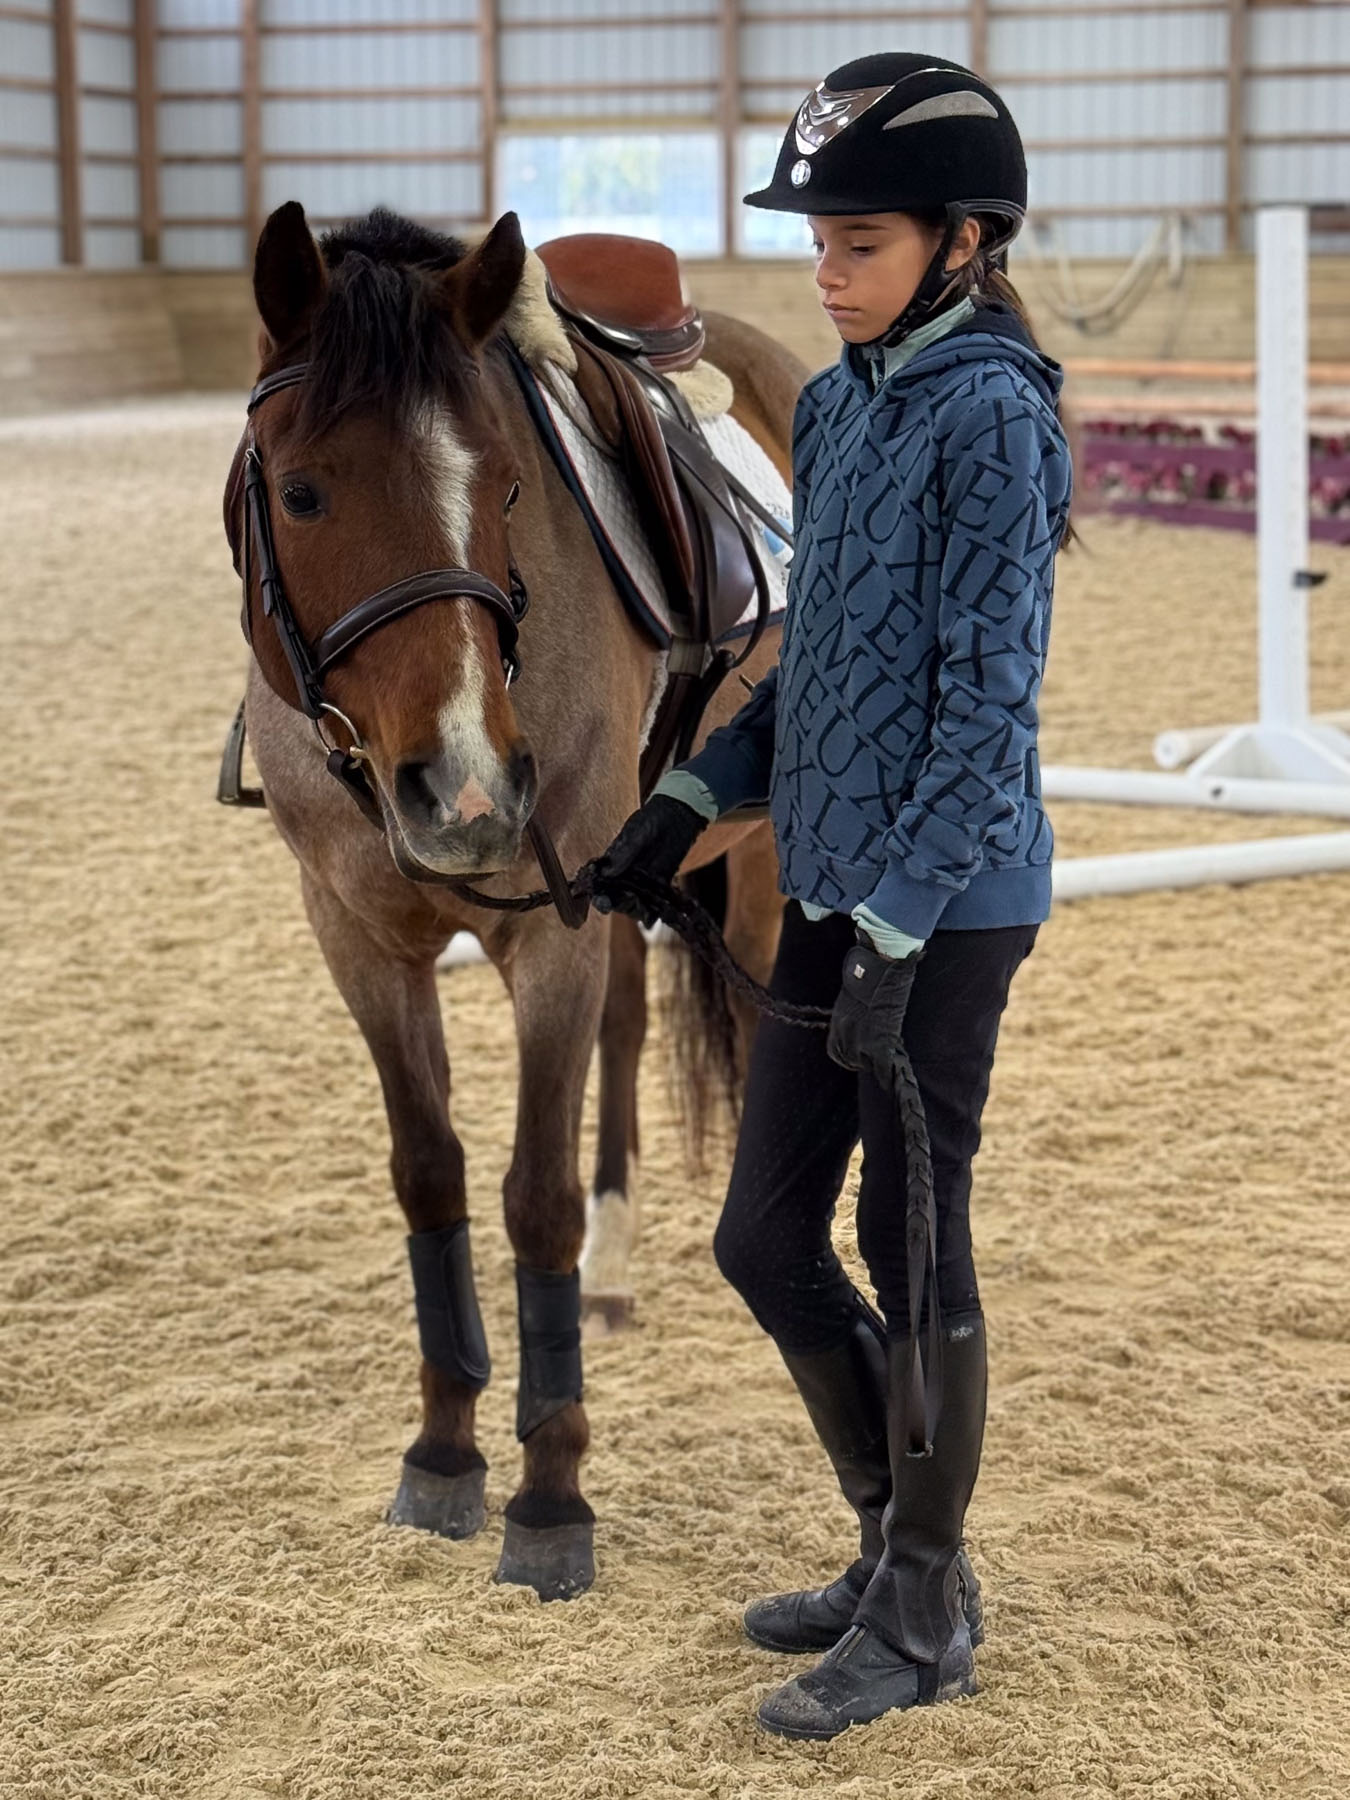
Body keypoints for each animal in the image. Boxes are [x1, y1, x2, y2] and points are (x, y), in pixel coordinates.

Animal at [225, 201, 805, 1600]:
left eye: (501, 488)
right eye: (302, 489)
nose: (468, 791)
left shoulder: (549, 934)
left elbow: (530, 1195)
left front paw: (550, 1496)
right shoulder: (360, 940)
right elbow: (429, 1177)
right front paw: (444, 1450)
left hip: (753, 854)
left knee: (759, 1019)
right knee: (631, 1030)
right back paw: (612, 1270)